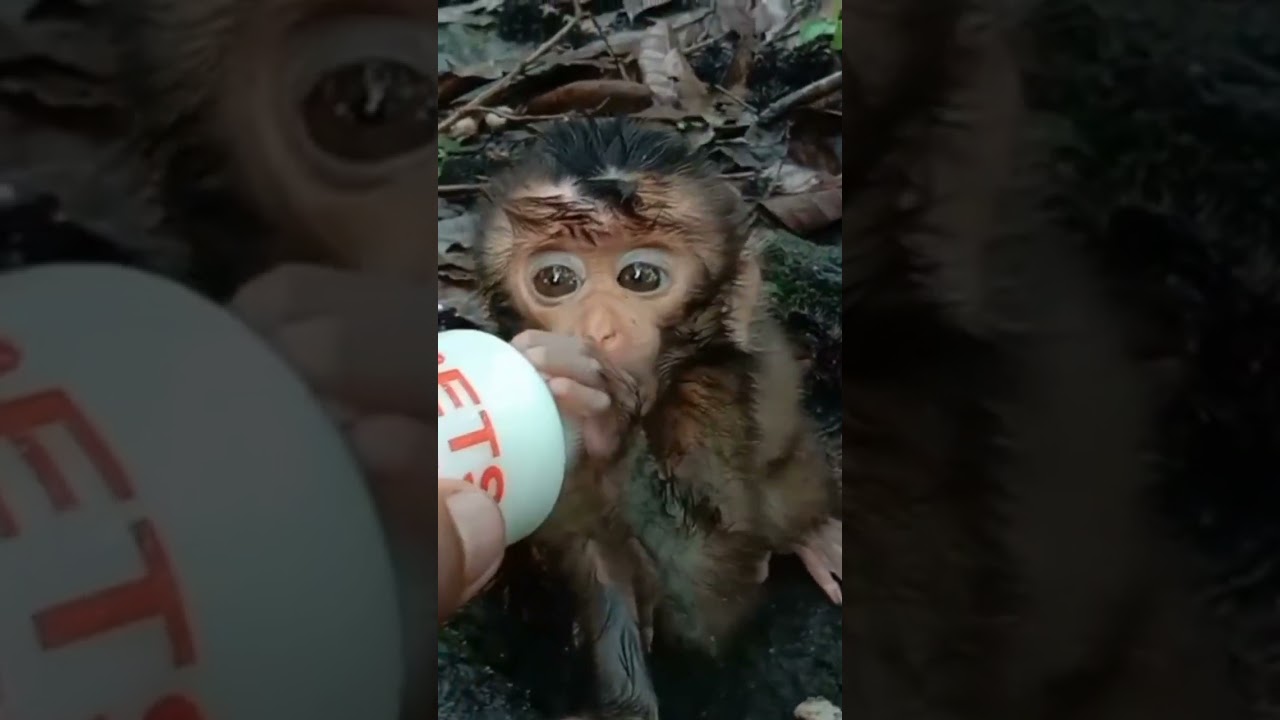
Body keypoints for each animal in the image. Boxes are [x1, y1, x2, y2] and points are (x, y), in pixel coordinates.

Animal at [470, 117, 842, 718]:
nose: (597, 331)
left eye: (641, 276)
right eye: (555, 280)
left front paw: (604, 428)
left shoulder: (706, 401)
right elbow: (597, 568)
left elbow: (713, 601)